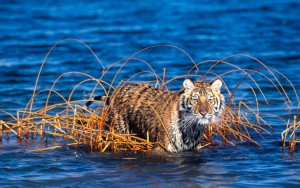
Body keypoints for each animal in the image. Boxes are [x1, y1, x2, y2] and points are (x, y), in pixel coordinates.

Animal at [84, 78, 225, 152]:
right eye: (195, 99)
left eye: (210, 100)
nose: (203, 112)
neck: (192, 127)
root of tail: (117, 91)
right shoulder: (164, 147)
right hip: (120, 132)